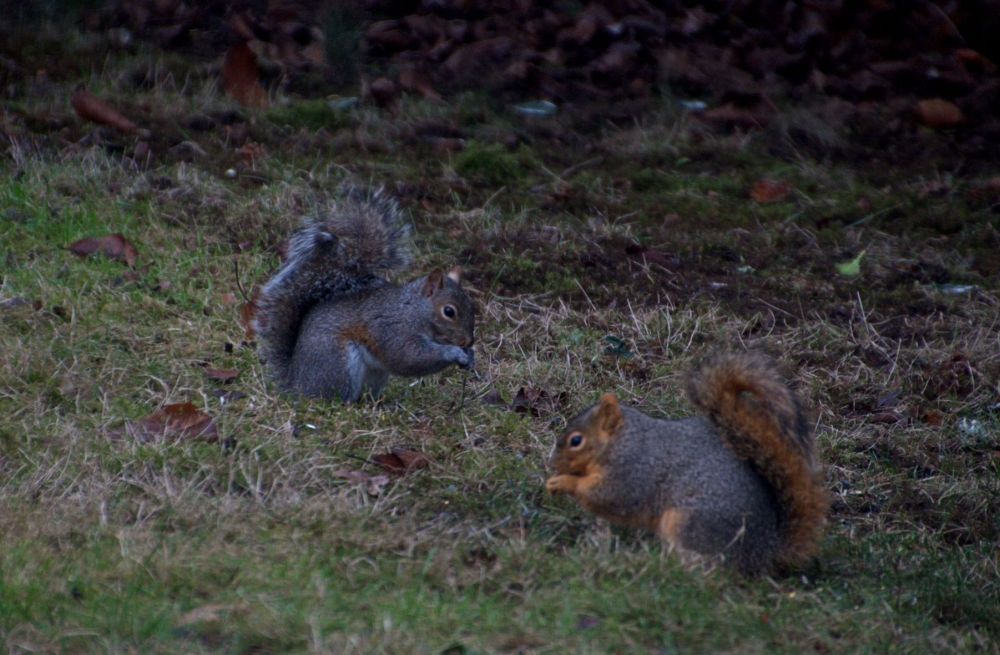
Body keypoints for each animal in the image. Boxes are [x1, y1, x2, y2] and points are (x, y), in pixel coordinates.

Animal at [254, 188, 476, 402]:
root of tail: (297, 385)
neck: (413, 309)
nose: (469, 342)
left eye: (471, 307)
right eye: (449, 311)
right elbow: (409, 358)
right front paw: (454, 353)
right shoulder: (393, 329)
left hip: (375, 375)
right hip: (338, 364)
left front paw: (470, 356)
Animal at [546, 351, 828, 575]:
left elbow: (607, 497)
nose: (552, 464)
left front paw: (563, 482)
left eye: (576, 440)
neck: (623, 442)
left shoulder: (633, 471)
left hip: (689, 523)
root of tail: (766, 552)